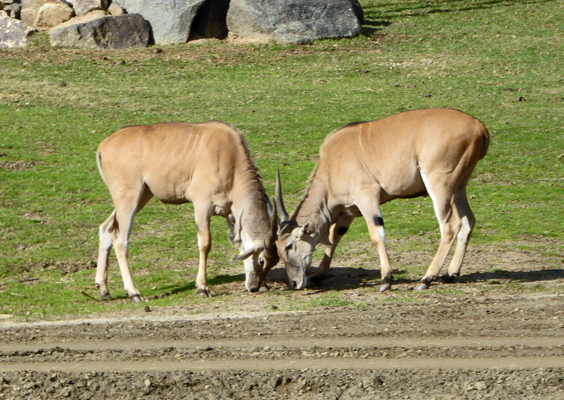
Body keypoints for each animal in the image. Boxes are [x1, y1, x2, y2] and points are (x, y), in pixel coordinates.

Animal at [95, 120, 280, 302]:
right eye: (262, 260)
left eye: (274, 262)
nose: (254, 287)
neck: (230, 157)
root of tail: (103, 146)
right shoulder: (202, 205)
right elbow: (205, 243)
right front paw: (202, 287)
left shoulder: (230, 213)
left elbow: (239, 242)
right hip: (129, 198)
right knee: (120, 240)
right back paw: (133, 292)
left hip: (141, 196)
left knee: (106, 228)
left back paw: (104, 290)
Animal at [274, 108, 490, 292]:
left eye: (289, 246)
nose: (294, 283)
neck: (331, 164)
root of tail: (479, 126)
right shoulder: (348, 210)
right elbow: (335, 236)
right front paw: (319, 274)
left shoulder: (367, 198)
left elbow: (376, 235)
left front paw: (386, 279)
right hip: (459, 188)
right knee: (468, 221)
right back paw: (450, 273)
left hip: (440, 186)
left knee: (450, 226)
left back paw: (426, 279)